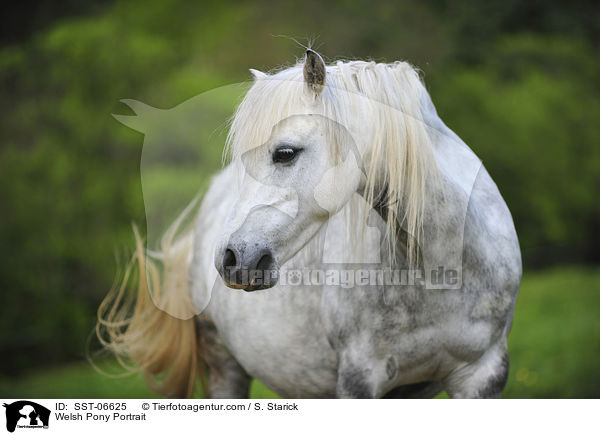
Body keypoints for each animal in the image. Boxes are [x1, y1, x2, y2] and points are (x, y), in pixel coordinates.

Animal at [98, 48, 520, 398]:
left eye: (285, 153)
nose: (232, 259)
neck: (441, 264)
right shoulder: (360, 378)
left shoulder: (483, 375)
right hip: (225, 366)